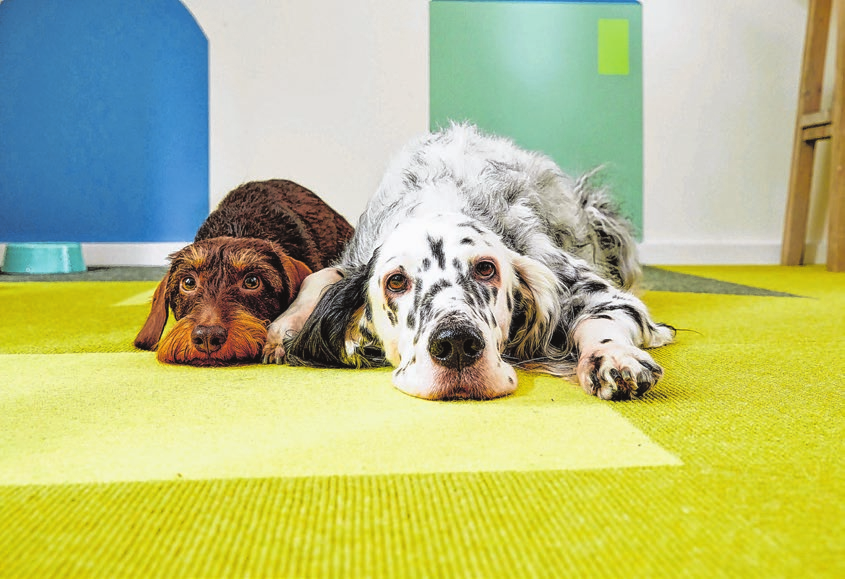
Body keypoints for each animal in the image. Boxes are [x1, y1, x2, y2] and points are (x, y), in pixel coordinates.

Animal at [264, 124, 672, 402]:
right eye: (396, 281)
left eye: (486, 268)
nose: (457, 345)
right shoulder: (354, 260)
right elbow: (319, 277)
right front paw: (283, 329)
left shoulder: (590, 288)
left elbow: (602, 317)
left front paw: (614, 356)